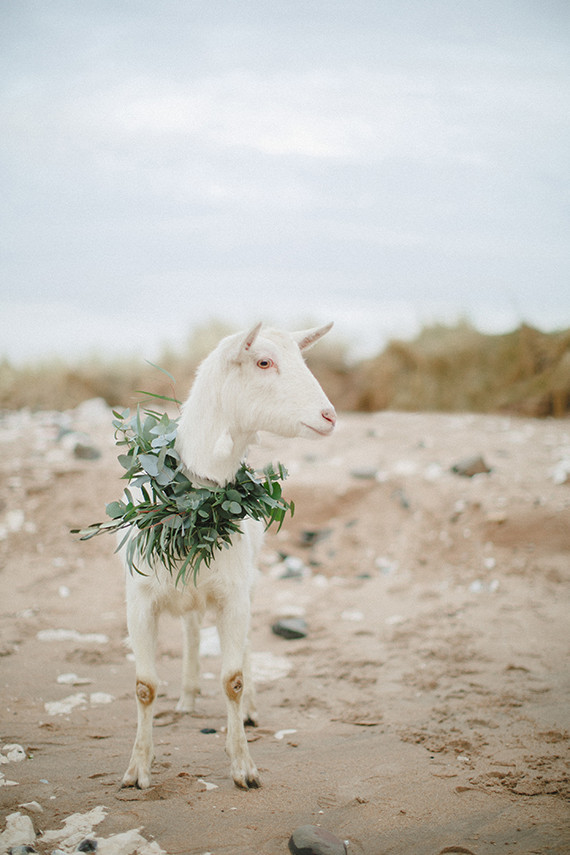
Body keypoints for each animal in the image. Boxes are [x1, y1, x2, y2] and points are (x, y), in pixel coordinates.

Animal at [121, 322, 336, 790]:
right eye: (264, 361)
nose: (329, 416)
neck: (193, 501)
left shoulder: (233, 596)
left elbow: (232, 680)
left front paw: (243, 766)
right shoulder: (140, 599)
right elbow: (144, 686)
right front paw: (136, 770)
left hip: (246, 584)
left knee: (245, 645)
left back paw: (250, 710)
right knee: (190, 632)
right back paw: (186, 698)